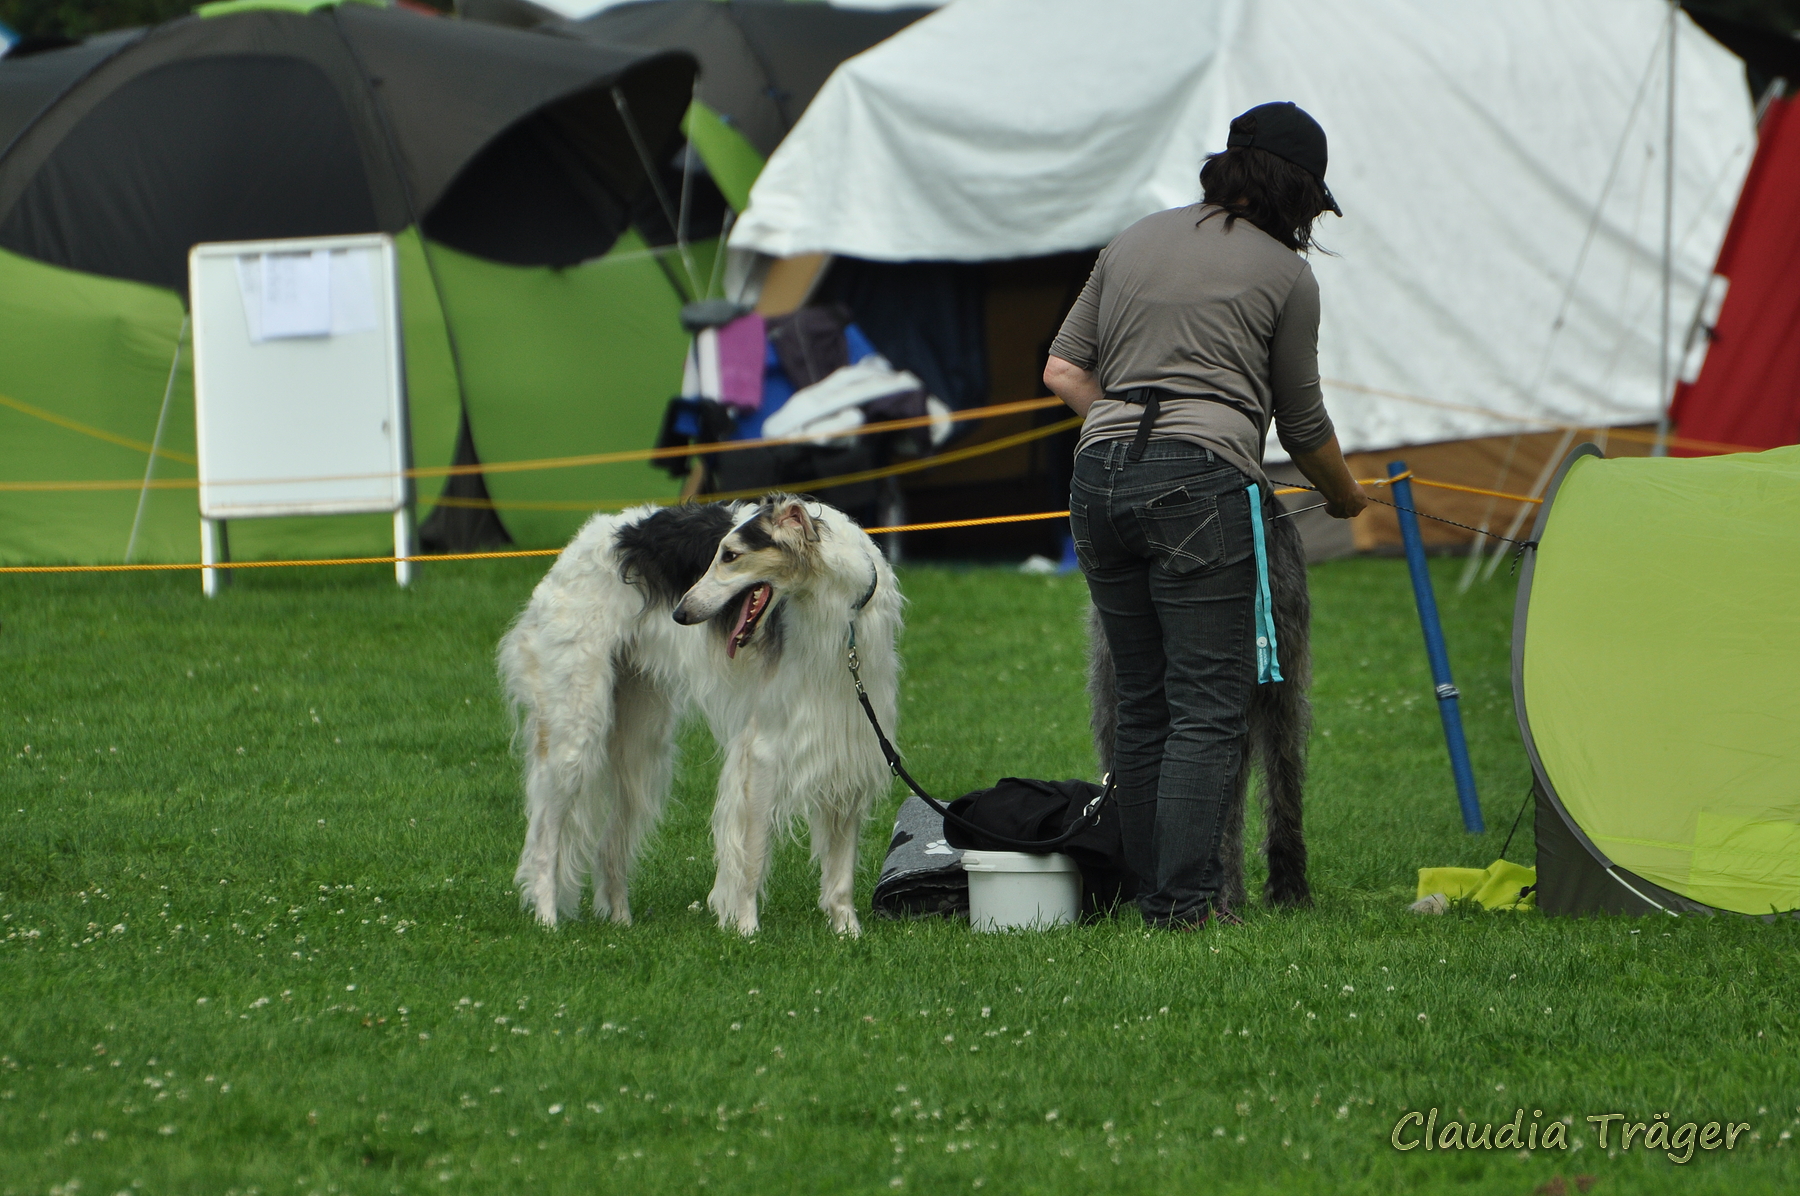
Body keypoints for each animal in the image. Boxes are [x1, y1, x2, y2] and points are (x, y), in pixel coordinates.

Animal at [496, 493, 900, 936]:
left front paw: (848, 932)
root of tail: (577, 545)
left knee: (609, 845)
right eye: (718, 553)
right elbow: (751, 856)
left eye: (731, 555)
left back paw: (620, 922)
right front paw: (746, 930)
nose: (680, 614)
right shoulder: (763, 746)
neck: (837, 611)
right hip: (575, 728)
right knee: (544, 840)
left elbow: (840, 870)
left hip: (638, 739)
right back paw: (546, 919)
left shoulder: (849, 734)